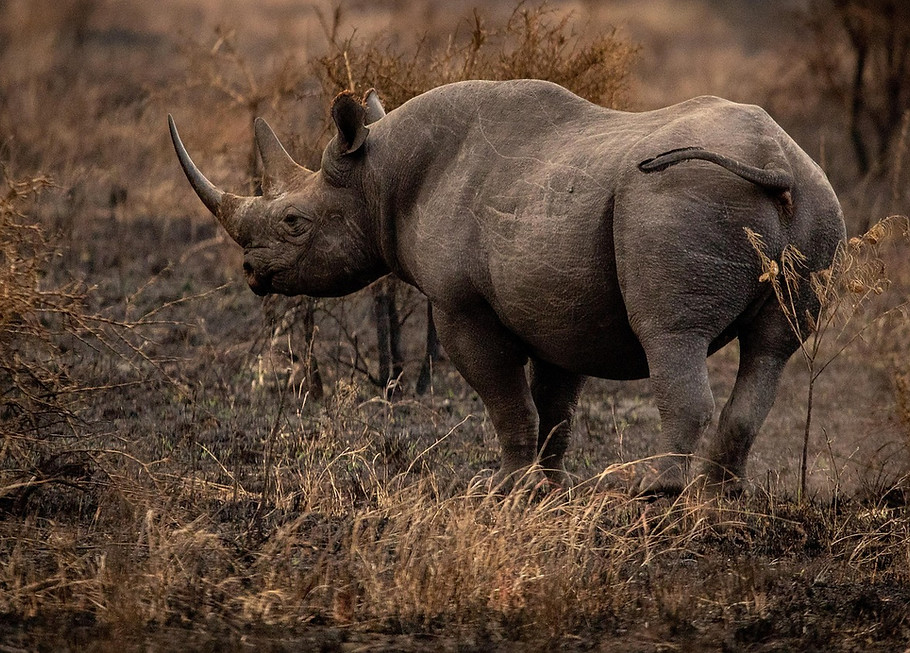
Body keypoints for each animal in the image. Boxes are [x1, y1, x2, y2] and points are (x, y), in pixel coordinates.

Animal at [169, 79, 845, 493]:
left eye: (294, 222)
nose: (251, 273)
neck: (379, 176)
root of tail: (776, 161)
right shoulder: (557, 302)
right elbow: (555, 404)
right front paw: (548, 486)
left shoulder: (461, 304)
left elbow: (504, 396)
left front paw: (506, 487)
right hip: (817, 199)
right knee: (772, 349)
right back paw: (717, 497)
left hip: (677, 198)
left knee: (670, 335)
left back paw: (654, 494)